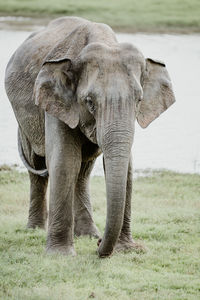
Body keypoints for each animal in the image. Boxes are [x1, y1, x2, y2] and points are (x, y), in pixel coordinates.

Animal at [4, 16, 175, 256]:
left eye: (139, 100)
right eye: (90, 102)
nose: (99, 246)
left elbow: (127, 168)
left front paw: (125, 249)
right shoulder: (57, 102)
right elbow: (65, 161)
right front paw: (60, 256)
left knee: (83, 171)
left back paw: (86, 234)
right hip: (25, 121)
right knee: (37, 164)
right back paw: (35, 230)